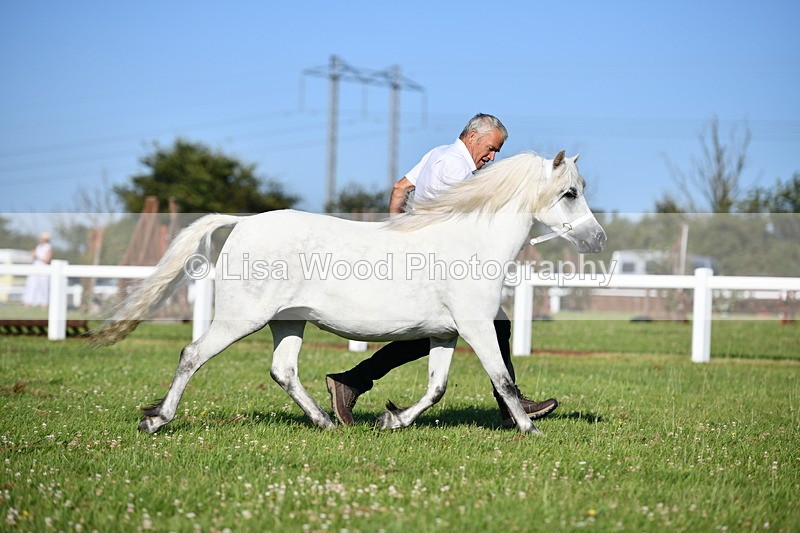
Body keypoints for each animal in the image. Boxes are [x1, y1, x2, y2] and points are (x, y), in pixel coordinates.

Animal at [91, 150, 606, 434]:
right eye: (570, 194)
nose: (597, 239)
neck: (470, 242)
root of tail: (242, 223)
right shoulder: (477, 327)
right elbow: (502, 379)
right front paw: (529, 426)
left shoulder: (445, 333)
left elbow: (436, 387)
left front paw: (392, 419)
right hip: (242, 318)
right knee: (192, 354)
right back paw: (157, 419)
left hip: (288, 320)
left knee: (283, 370)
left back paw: (326, 419)